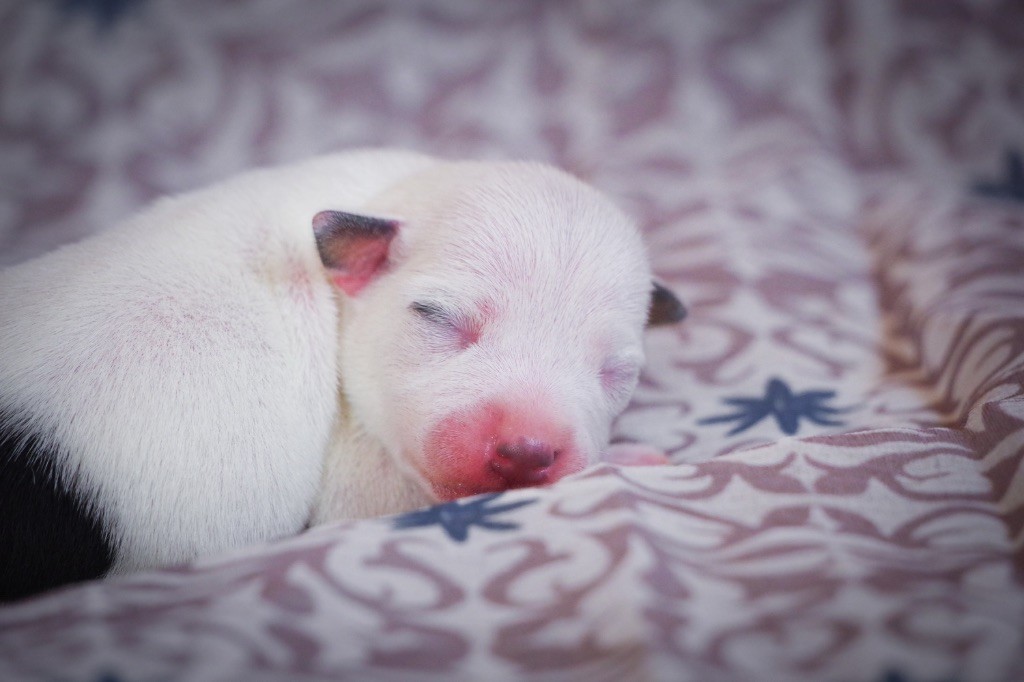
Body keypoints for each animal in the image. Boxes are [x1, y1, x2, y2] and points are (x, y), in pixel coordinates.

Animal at [2, 150, 688, 602]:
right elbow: (378, 499)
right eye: (434, 316)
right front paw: (636, 458)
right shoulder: (352, 475)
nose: (527, 449)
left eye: (615, 371)